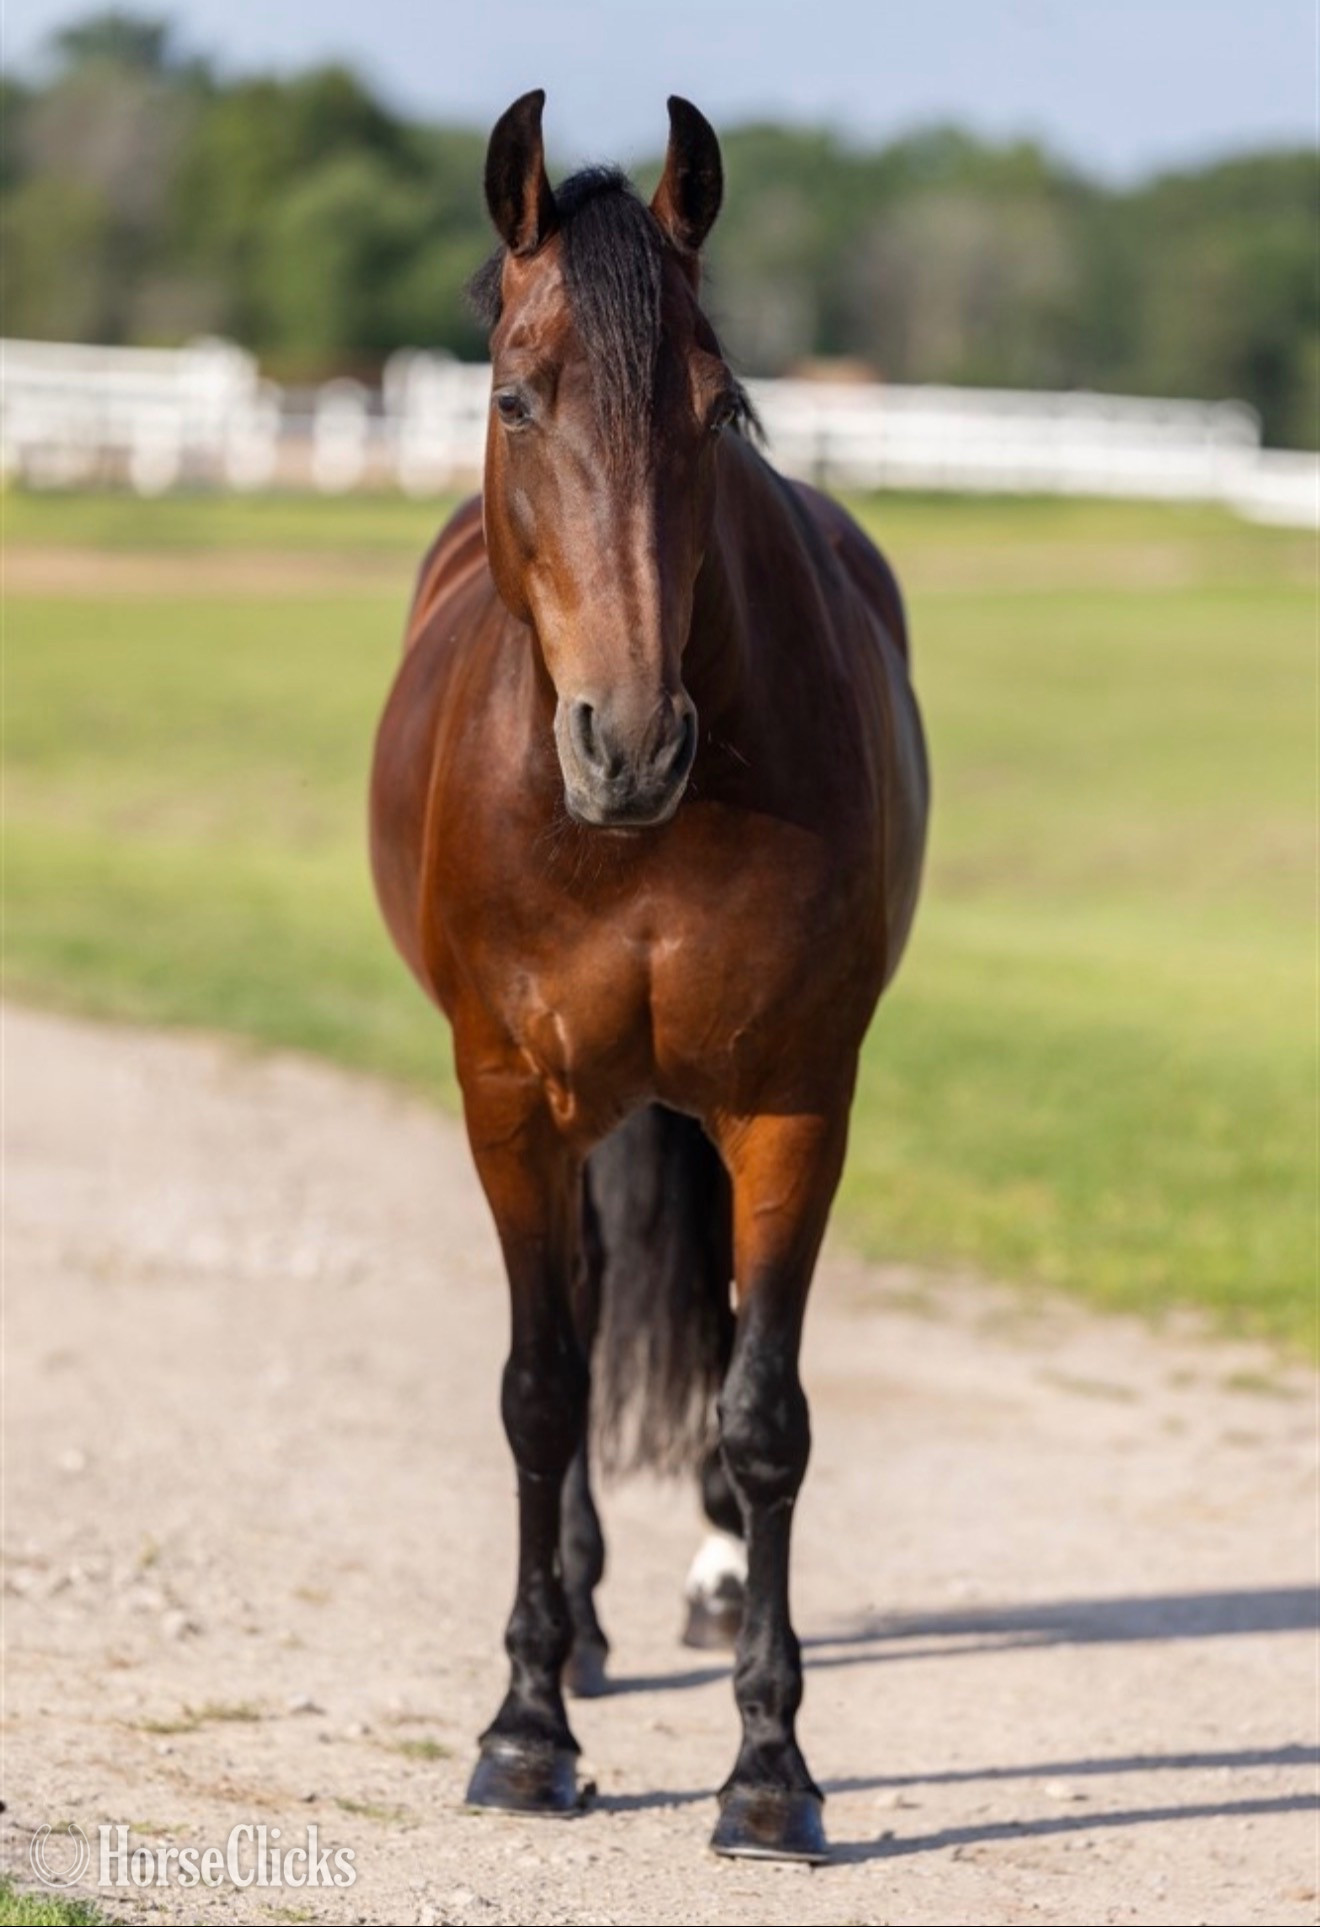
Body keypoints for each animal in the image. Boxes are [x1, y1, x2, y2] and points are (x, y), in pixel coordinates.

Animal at [369, 90, 928, 1863]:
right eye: (513, 395)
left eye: (716, 407)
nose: (627, 742)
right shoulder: (509, 1098)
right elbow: (542, 1390)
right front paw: (526, 1726)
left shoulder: (792, 1102)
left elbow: (764, 1410)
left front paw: (769, 1764)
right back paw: (592, 1618)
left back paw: (704, 1576)